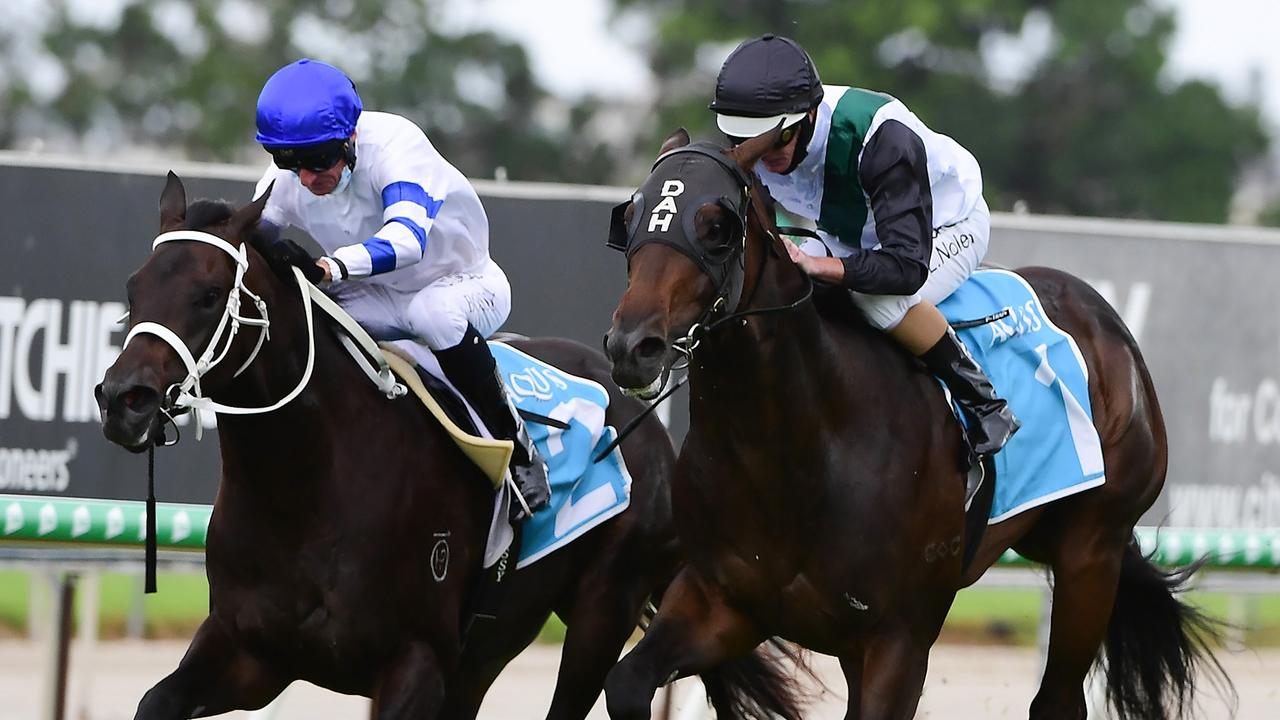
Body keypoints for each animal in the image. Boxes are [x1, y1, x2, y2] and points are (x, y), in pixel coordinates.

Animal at [94, 174, 803, 717]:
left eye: (209, 294)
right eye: (133, 289)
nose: (124, 399)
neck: (309, 485)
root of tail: (645, 417)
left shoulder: (415, 663)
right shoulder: (250, 652)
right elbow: (156, 701)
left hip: (601, 610)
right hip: (489, 646)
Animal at [599, 130, 1228, 717]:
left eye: (716, 226)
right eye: (630, 216)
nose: (633, 346)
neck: (801, 447)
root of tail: (1107, 324)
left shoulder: (896, 644)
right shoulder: (723, 602)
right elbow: (627, 682)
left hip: (1091, 550)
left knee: (1057, 699)